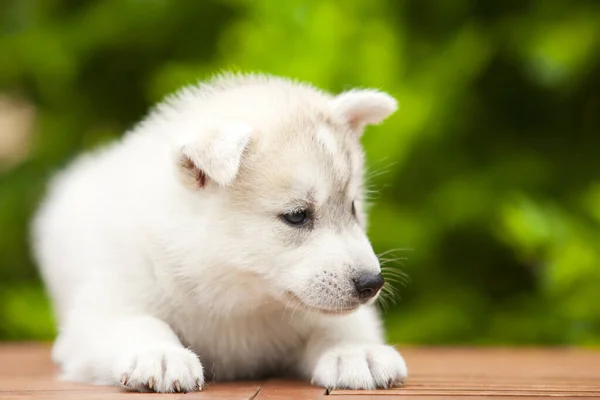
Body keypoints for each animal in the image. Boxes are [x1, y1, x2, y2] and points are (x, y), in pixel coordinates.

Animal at [31, 73, 408, 392]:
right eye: (298, 215)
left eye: (353, 208)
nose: (372, 283)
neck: (235, 296)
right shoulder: (101, 311)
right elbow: (140, 323)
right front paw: (160, 355)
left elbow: (338, 325)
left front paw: (357, 351)